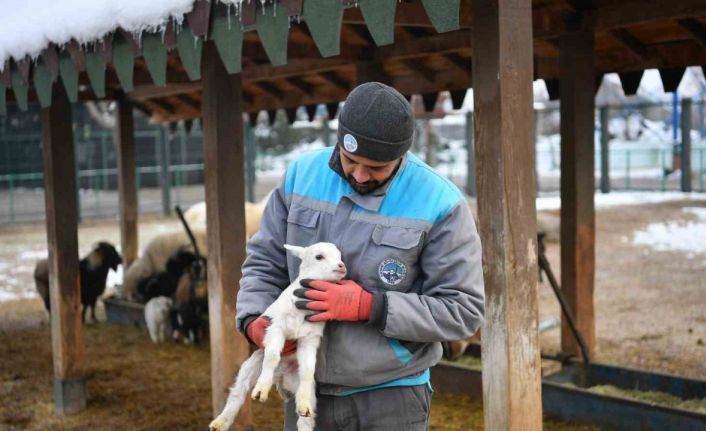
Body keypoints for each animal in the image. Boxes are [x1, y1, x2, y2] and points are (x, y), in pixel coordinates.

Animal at [208, 243, 346, 431]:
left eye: (340, 255)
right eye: (319, 257)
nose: (342, 266)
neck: (300, 311)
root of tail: (280, 377)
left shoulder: (309, 339)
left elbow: (308, 369)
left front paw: (303, 402)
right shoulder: (276, 328)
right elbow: (272, 356)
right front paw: (261, 390)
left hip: (302, 385)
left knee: (306, 418)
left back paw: (304, 407)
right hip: (252, 364)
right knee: (238, 392)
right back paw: (220, 422)